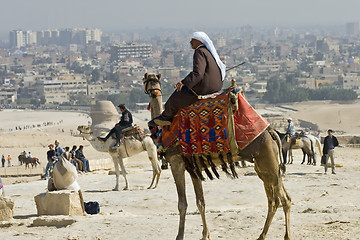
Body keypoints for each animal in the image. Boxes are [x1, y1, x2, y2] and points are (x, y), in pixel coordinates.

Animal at [142, 72, 292, 240]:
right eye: (148, 80)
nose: (152, 89)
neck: (164, 131)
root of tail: (271, 132)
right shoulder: (193, 168)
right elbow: (201, 202)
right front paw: (205, 235)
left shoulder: (176, 163)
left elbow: (182, 204)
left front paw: (179, 236)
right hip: (264, 167)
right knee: (274, 199)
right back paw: (261, 235)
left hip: (269, 163)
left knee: (283, 199)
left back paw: (285, 236)